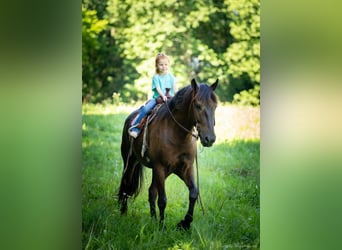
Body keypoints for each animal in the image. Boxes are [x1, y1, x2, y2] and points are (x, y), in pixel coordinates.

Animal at [119, 78, 218, 230]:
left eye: (215, 106)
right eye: (198, 105)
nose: (210, 139)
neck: (177, 133)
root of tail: (130, 119)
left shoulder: (185, 168)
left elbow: (193, 193)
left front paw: (185, 223)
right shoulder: (160, 167)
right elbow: (163, 200)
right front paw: (162, 226)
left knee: (151, 192)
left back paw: (153, 219)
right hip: (130, 162)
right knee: (126, 184)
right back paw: (124, 212)